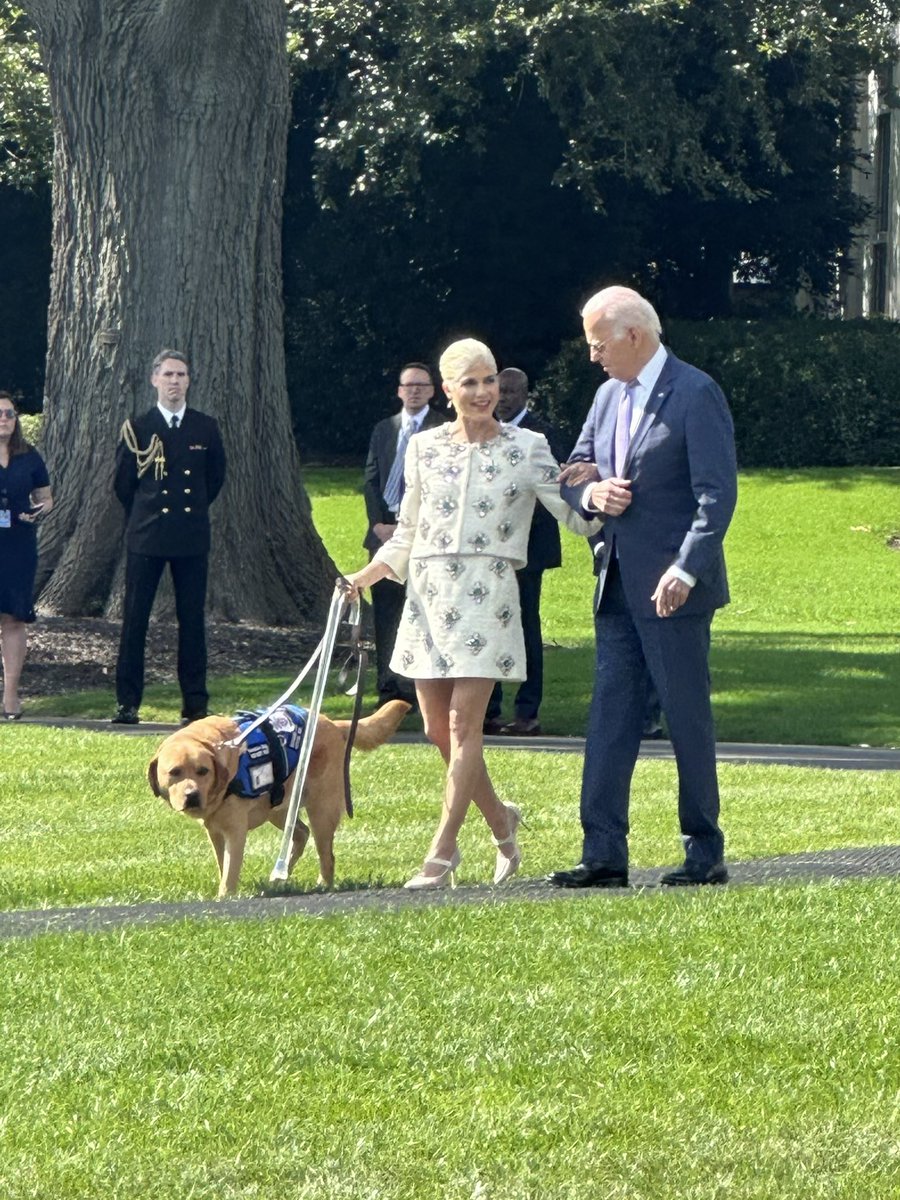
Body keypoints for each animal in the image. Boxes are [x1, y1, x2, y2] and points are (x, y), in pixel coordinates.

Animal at [150, 700, 410, 897]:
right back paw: (278, 878)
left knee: (327, 855)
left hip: (321, 810)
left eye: (203, 771)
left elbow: (230, 868)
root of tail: (333, 723)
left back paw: (323, 885)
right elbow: (222, 864)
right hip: (280, 809)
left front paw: (225, 896)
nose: (192, 795)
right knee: (301, 834)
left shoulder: (235, 830)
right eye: (174, 772)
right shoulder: (214, 830)